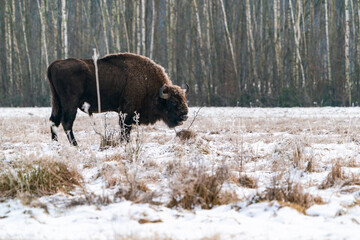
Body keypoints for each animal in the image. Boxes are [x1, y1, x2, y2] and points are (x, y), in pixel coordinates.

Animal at [47, 52, 188, 145]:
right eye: (173, 102)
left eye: (185, 99)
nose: (185, 115)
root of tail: (54, 65)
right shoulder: (127, 112)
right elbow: (125, 129)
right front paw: (124, 143)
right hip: (70, 104)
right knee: (67, 123)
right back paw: (76, 145)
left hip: (56, 102)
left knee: (54, 121)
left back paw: (56, 145)